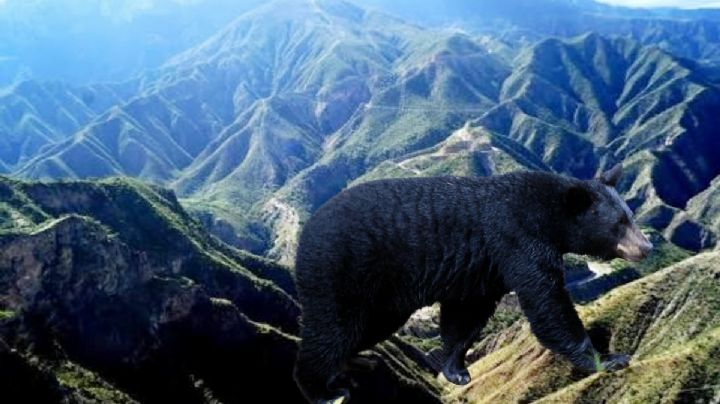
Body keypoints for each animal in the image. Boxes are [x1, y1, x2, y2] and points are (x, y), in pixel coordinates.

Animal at [293, 164, 653, 403]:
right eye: (619, 223)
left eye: (630, 214)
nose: (646, 246)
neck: (550, 215)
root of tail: (304, 235)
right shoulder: (518, 239)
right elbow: (547, 302)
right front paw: (607, 359)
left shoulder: (483, 268)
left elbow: (466, 315)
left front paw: (456, 370)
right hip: (343, 271)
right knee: (334, 327)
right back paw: (323, 389)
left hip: (381, 297)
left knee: (368, 328)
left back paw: (357, 362)